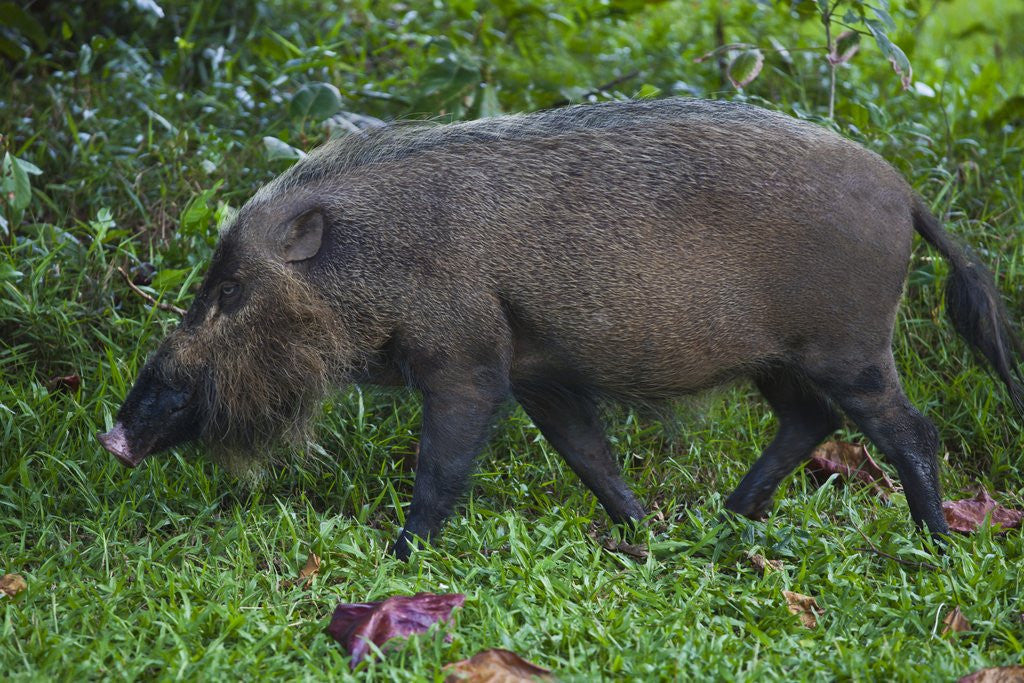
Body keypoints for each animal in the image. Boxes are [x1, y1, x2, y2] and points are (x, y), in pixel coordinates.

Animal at [98, 98, 1023, 558]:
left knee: (910, 430)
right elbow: (591, 457)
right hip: (783, 357)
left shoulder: (468, 361)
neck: (378, 255)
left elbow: (442, 470)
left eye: (228, 292)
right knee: (810, 420)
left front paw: (400, 558)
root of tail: (906, 193)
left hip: (849, 346)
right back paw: (725, 520)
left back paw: (936, 548)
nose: (114, 433)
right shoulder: (541, 373)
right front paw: (642, 539)